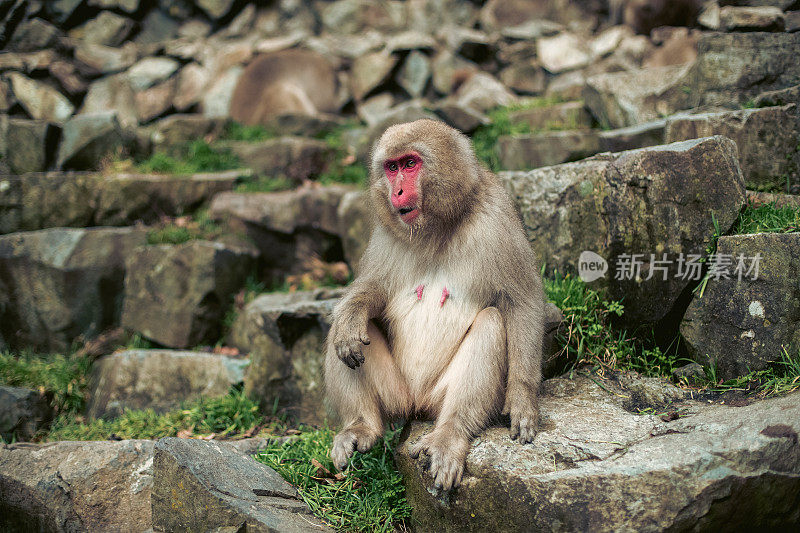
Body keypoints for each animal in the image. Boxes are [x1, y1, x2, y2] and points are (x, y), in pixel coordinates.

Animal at [322, 118, 548, 488]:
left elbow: (521, 302)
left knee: (491, 322)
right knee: (342, 332)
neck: (438, 228)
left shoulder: (497, 217)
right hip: (397, 395)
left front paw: (522, 398)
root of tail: (417, 405)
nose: (397, 192)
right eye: (392, 168)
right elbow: (373, 290)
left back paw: (450, 434)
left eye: (410, 163)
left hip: (437, 398)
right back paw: (361, 425)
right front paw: (352, 316)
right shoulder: (385, 233)